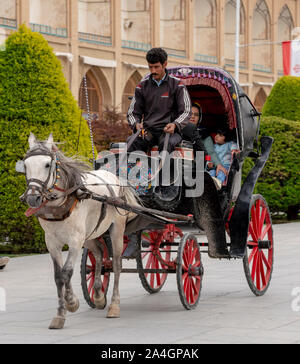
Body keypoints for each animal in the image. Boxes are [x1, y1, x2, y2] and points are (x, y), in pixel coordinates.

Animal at [19, 134, 139, 330]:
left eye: (47, 164)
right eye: (25, 165)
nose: (32, 197)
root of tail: (115, 177)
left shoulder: (75, 240)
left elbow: (67, 272)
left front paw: (71, 302)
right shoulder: (51, 242)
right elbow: (58, 276)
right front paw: (61, 313)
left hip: (116, 230)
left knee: (116, 265)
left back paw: (114, 305)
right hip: (90, 234)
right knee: (99, 255)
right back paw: (98, 295)